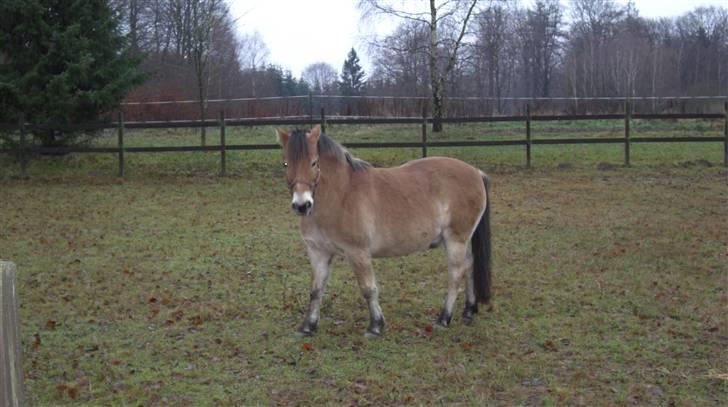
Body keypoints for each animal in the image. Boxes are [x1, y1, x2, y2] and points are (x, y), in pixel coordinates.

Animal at [276, 126, 492, 336]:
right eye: (286, 164)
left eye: (314, 163)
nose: (302, 205)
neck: (341, 195)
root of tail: (476, 172)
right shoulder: (318, 252)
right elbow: (316, 290)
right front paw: (308, 327)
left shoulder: (358, 252)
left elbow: (368, 289)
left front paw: (375, 326)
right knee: (469, 265)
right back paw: (468, 311)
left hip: (456, 239)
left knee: (456, 274)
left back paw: (444, 318)